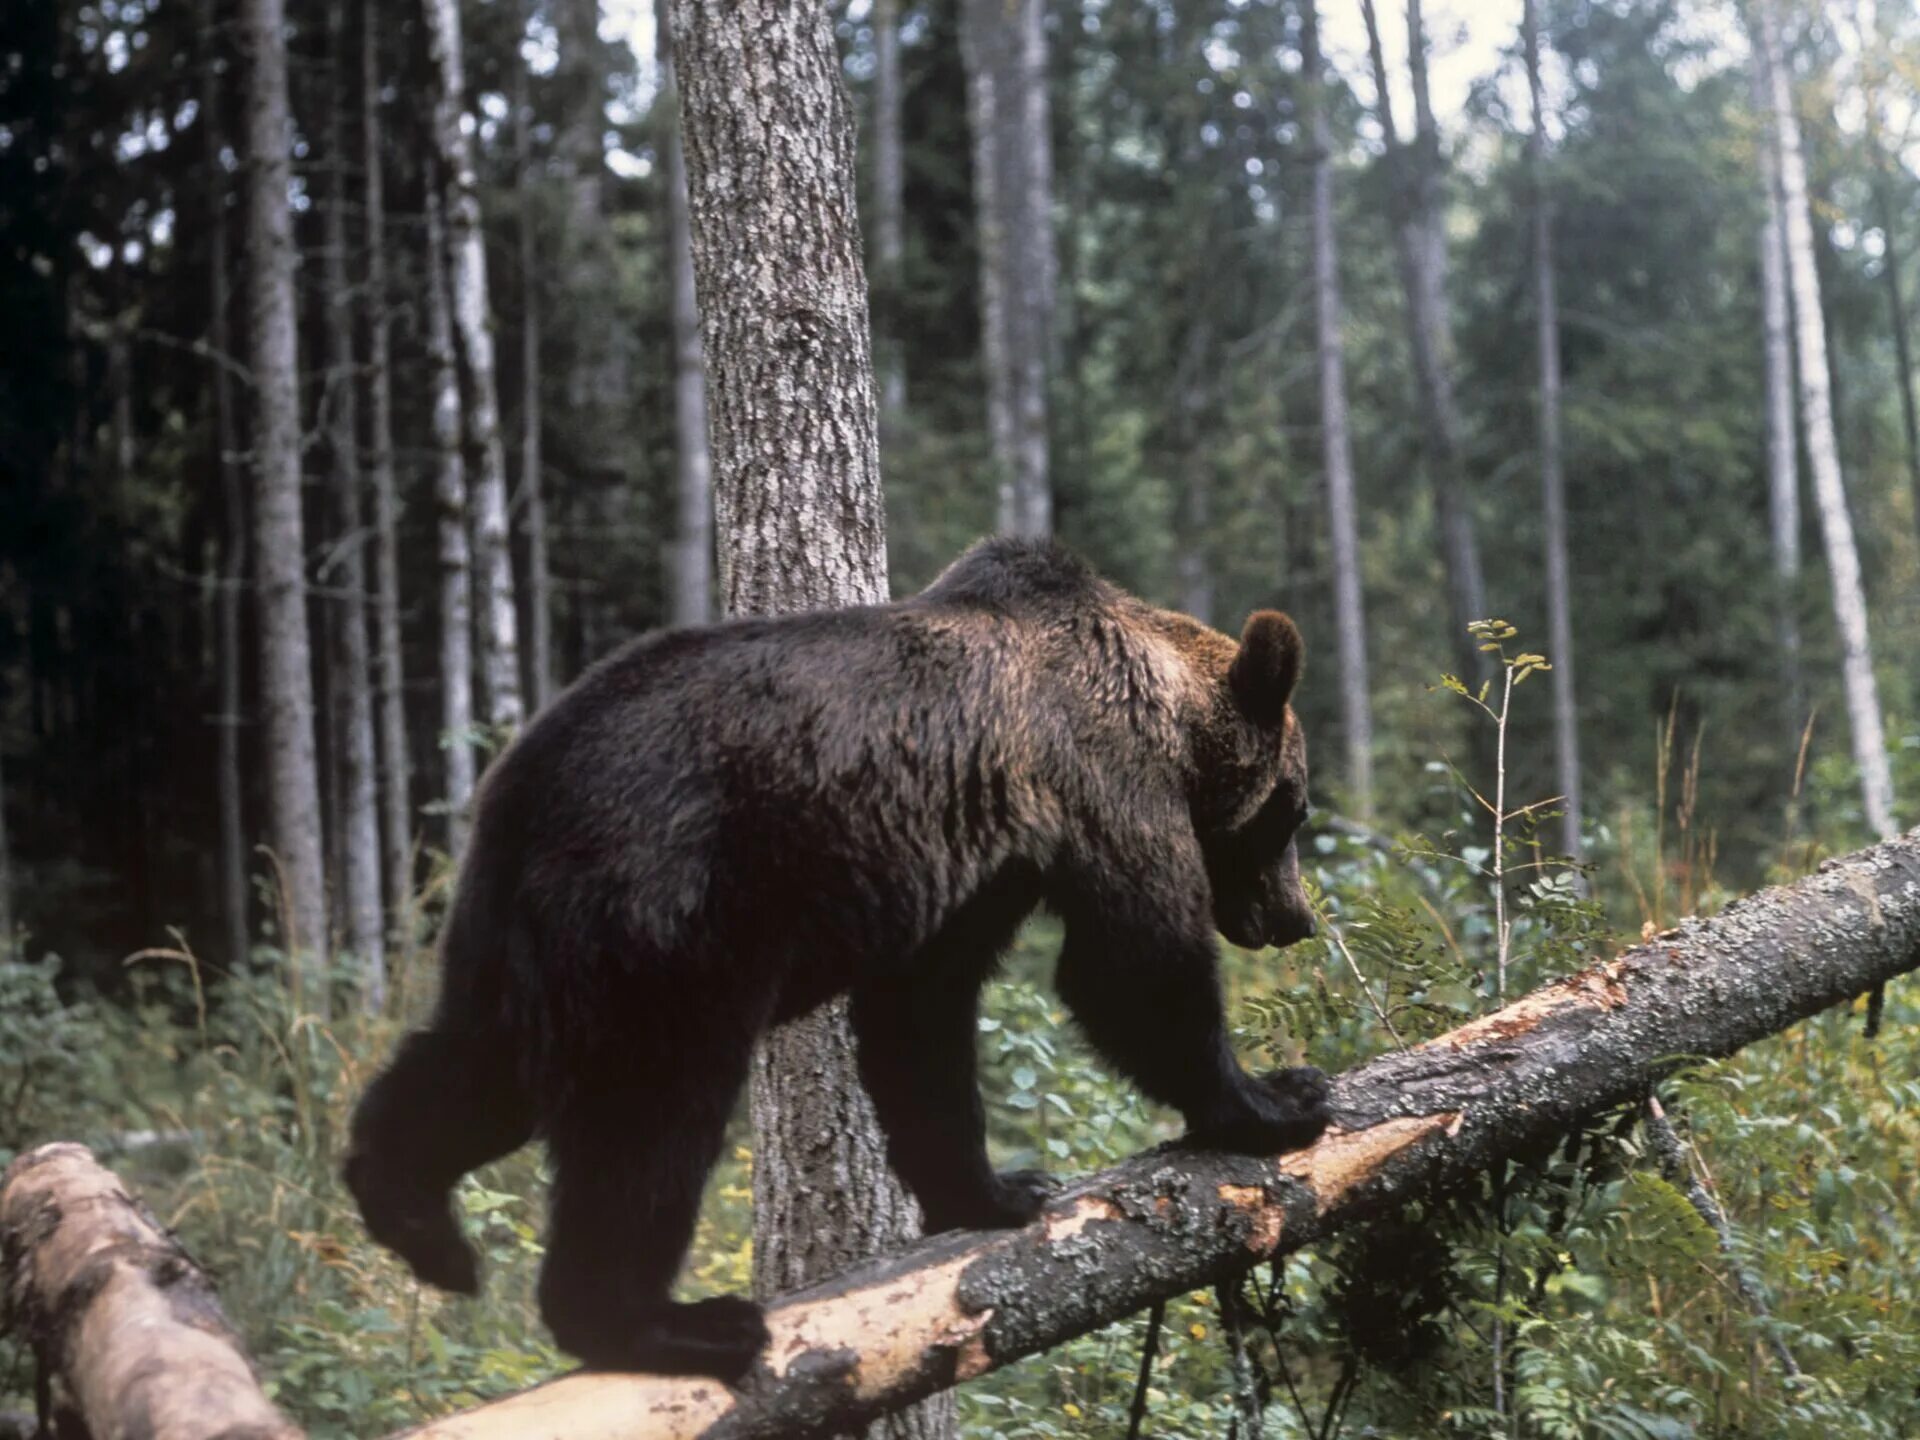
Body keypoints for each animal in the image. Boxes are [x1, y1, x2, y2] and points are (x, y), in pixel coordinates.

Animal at [345, 537, 1328, 1390]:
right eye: (1294, 807)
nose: (1296, 919)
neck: (1167, 716)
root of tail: (520, 784)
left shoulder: (970, 865)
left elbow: (921, 1022)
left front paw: (997, 1188)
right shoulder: (1101, 783)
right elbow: (1135, 969)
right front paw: (1278, 1099)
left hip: (528, 940)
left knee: (478, 1065)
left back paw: (415, 1217)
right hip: (670, 915)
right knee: (651, 1112)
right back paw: (665, 1322)